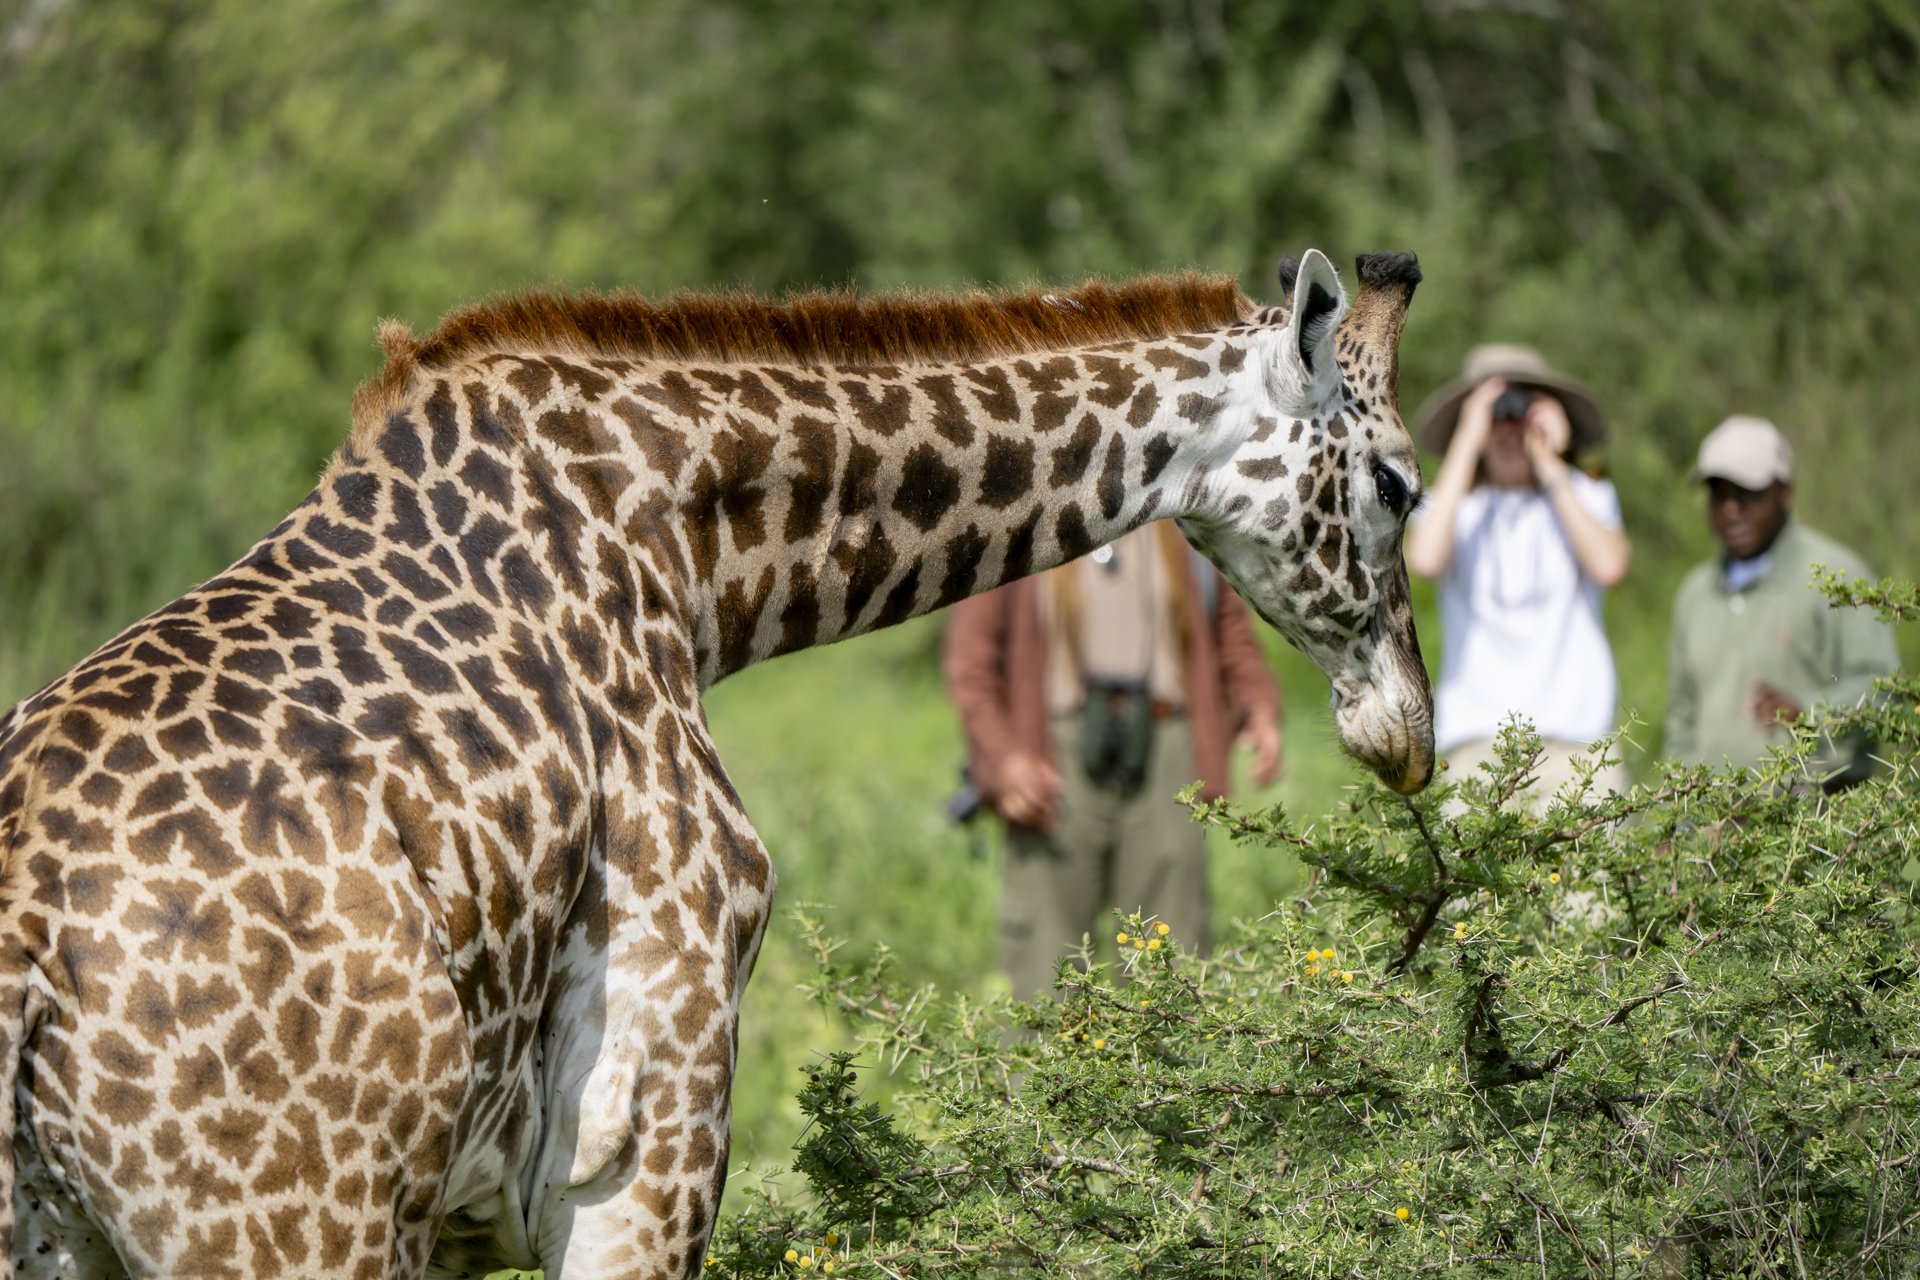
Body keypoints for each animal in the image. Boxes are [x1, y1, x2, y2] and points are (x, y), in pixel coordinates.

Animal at [0, 246, 1431, 1279]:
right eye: (1401, 483)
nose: (1408, 732)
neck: (696, 560)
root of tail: (26, 949)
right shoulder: (644, 1133)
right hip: (288, 1224)